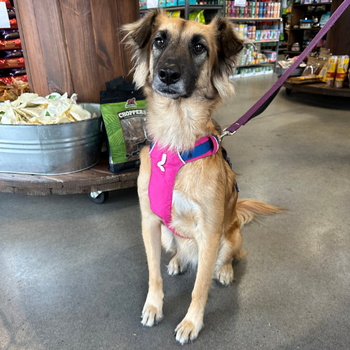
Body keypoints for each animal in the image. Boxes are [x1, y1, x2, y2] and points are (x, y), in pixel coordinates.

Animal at [123, 10, 282, 344]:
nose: (168, 74)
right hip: (168, 234)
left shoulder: (209, 233)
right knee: (179, 252)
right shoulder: (150, 222)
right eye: (159, 41)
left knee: (230, 257)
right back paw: (177, 260)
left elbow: (200, 288)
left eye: (199, 48)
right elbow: (153, 274)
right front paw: (153, 306)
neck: (176, 143)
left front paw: (191, 323)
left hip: (231, 235)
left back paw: (224, 271)